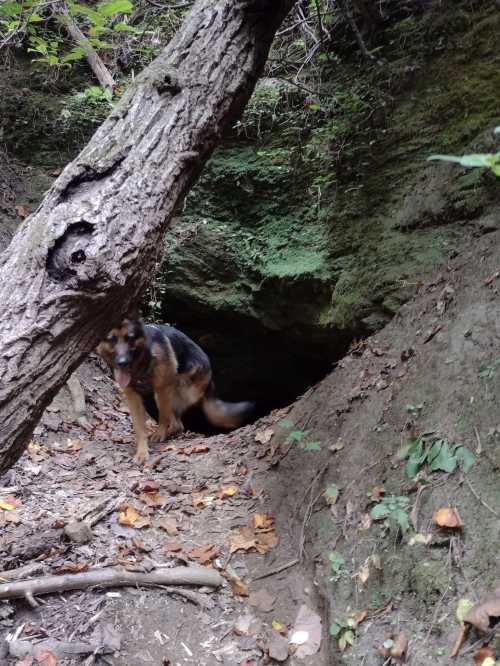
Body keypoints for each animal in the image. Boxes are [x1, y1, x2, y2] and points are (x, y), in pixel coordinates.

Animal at [97, 320, 254, 464]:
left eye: (130, 338)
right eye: (112, 339)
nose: (122, 362)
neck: (143, 361)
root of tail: (210, 375)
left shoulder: (163, 388)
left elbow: (163, 417)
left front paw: (159, 433)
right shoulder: (133, 397)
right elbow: (139, 428)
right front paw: (141, 452)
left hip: (174, 389)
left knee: (177, 423)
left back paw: (165, 432)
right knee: (177, 424)